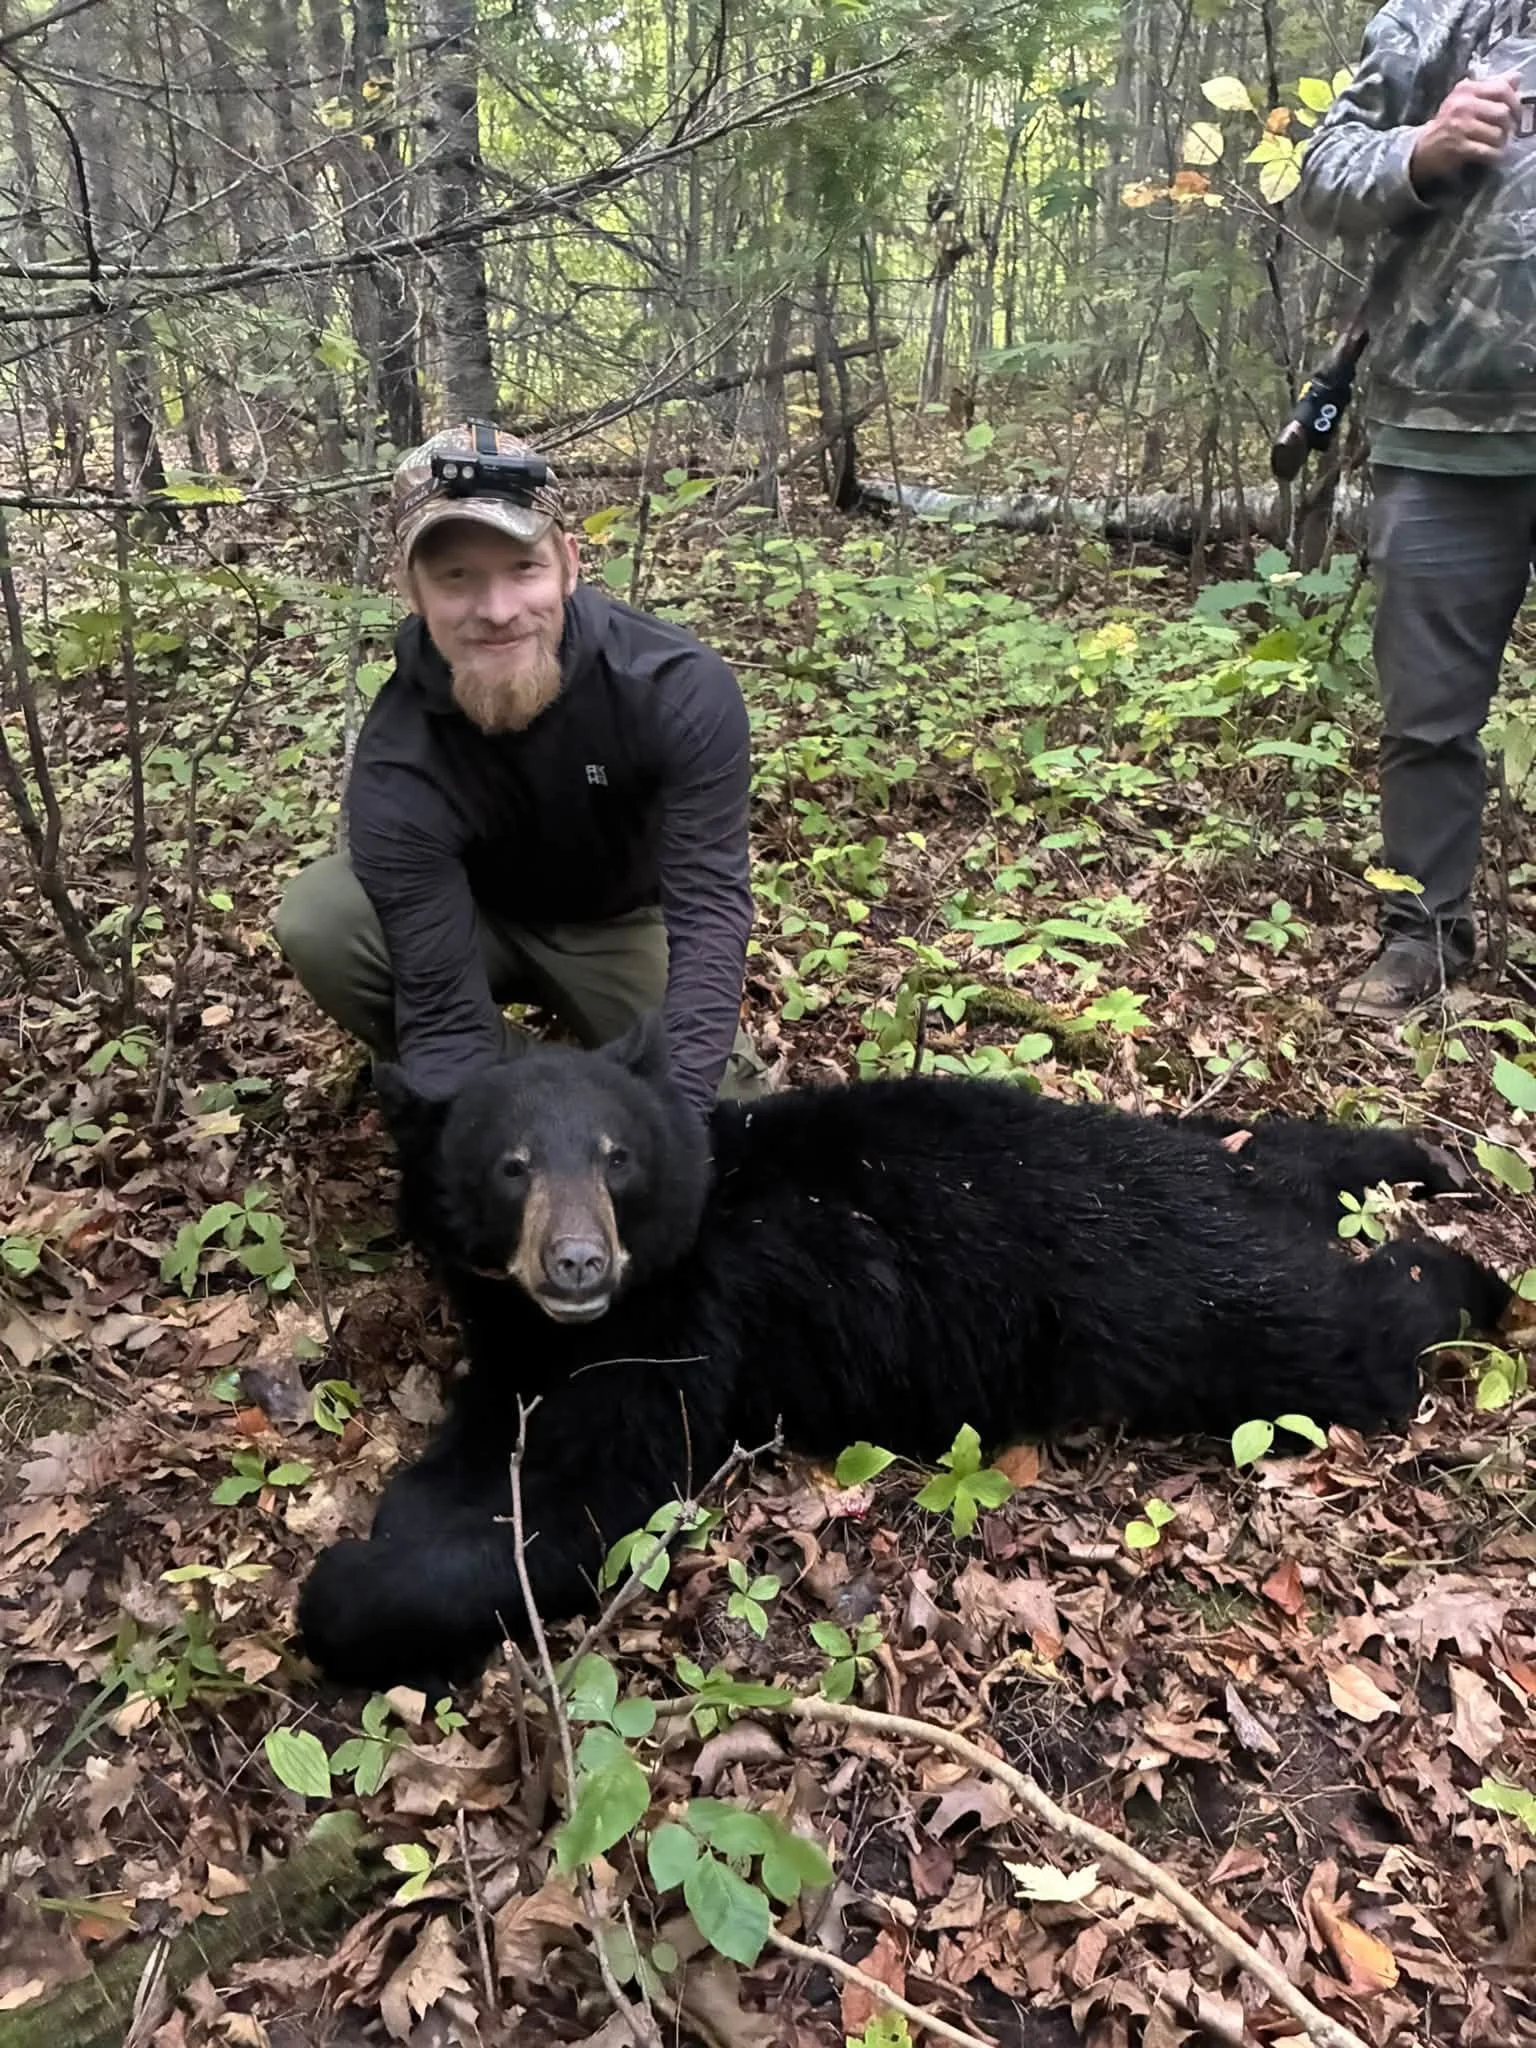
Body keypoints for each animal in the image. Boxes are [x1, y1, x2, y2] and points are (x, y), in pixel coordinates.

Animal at [297, 1018, 1509, 1692]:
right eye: (510, 1165)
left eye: (613, 1155)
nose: (579, 1262)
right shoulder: (521, 1339)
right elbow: (487, 1438)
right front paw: (401, 1523)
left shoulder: (688, 1331)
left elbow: (588, 1505)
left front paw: (346, 1594)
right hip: (1217, 1162)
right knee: (1283, 1145)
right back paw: (1415, 1154)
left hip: (1190, 1297)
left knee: (1343, 1335)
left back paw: (1465, 1275)